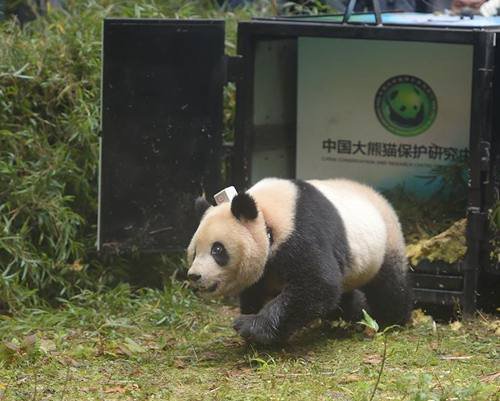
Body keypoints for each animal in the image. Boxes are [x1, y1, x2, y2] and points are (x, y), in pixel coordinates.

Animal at [186, 178, 412, 344]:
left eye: (217, 250)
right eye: (194, 252)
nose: (195, 276)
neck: (268, 214)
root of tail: (382, 199)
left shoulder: (303, 231)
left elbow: (318, 284)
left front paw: (250, 326)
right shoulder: (267, 267)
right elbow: (256, 291)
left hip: (385, 242)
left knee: (389, 286)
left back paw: (391, 320)